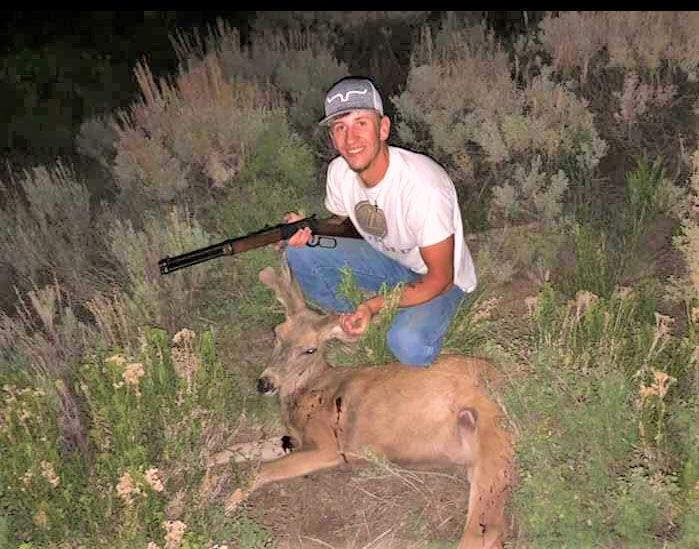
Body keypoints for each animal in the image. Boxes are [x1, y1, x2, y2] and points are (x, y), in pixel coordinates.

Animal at [219, 260, 514, 549]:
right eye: (276, 333)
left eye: (309, 349)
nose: (265, 383)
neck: (308, 391)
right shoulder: (292, 438)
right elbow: (233, 450)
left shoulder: (328, 446)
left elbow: (263, 469)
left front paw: (225, 507)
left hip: (493, 437)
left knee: (485, 531)